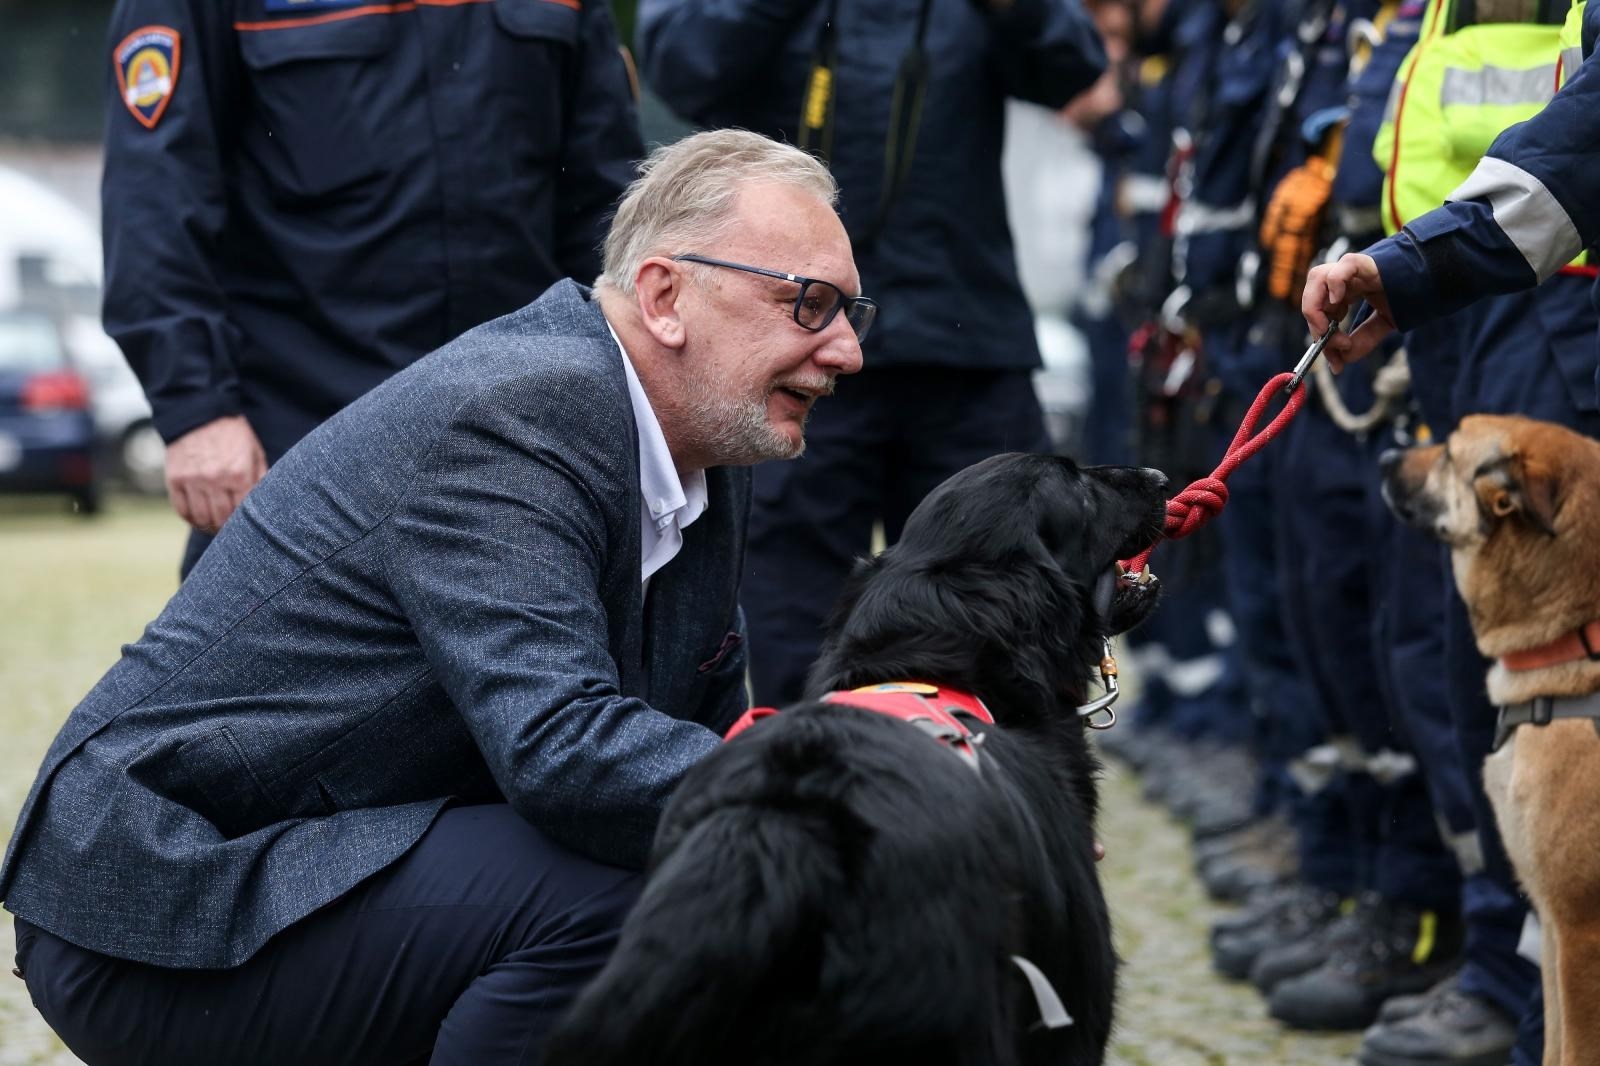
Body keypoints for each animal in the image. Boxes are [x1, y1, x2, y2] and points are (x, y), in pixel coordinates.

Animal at [1382, 412, 1600, 1062]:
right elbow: (1554, 1044)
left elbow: (1576, 1047)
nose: (1382, 457)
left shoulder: (1579, 928)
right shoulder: (1552, 926)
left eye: (1449, 453)